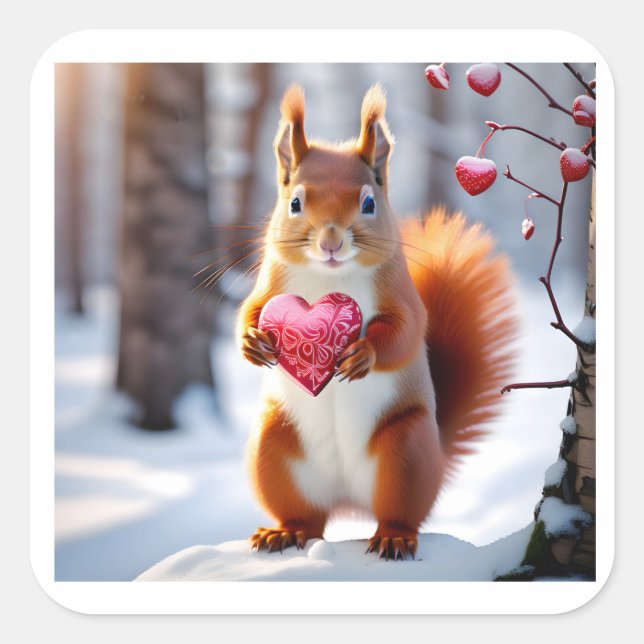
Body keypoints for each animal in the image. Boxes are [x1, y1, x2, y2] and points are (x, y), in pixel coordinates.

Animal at [237, 83, 517, 560]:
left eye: (369, 203)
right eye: (295, 203)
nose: (331, 240)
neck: (329, 277)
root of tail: (348, 499)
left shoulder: (401, 295)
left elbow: (405, 332)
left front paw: (362, 354)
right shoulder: (269, 284)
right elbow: (248, 310)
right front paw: (252, 342)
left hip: (405, 452)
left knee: (400, 511)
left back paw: (393, 537)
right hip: (272, 448)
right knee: (306, 516)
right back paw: (284, 532)